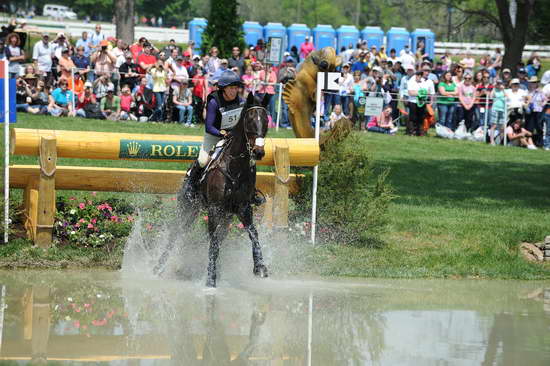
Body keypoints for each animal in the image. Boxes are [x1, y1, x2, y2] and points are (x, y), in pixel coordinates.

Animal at [154, 91, 270, 286]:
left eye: (266, 121)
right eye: (249, 120)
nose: (258, 152)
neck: (236, 166)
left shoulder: (243, 207)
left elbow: (253, 233)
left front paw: (260, 267)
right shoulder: (215, 209)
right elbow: (213, 241)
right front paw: (210, 279)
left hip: (226, 216)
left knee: (218, 238)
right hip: (188, 209)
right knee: (176, 233)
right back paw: (157, 267)